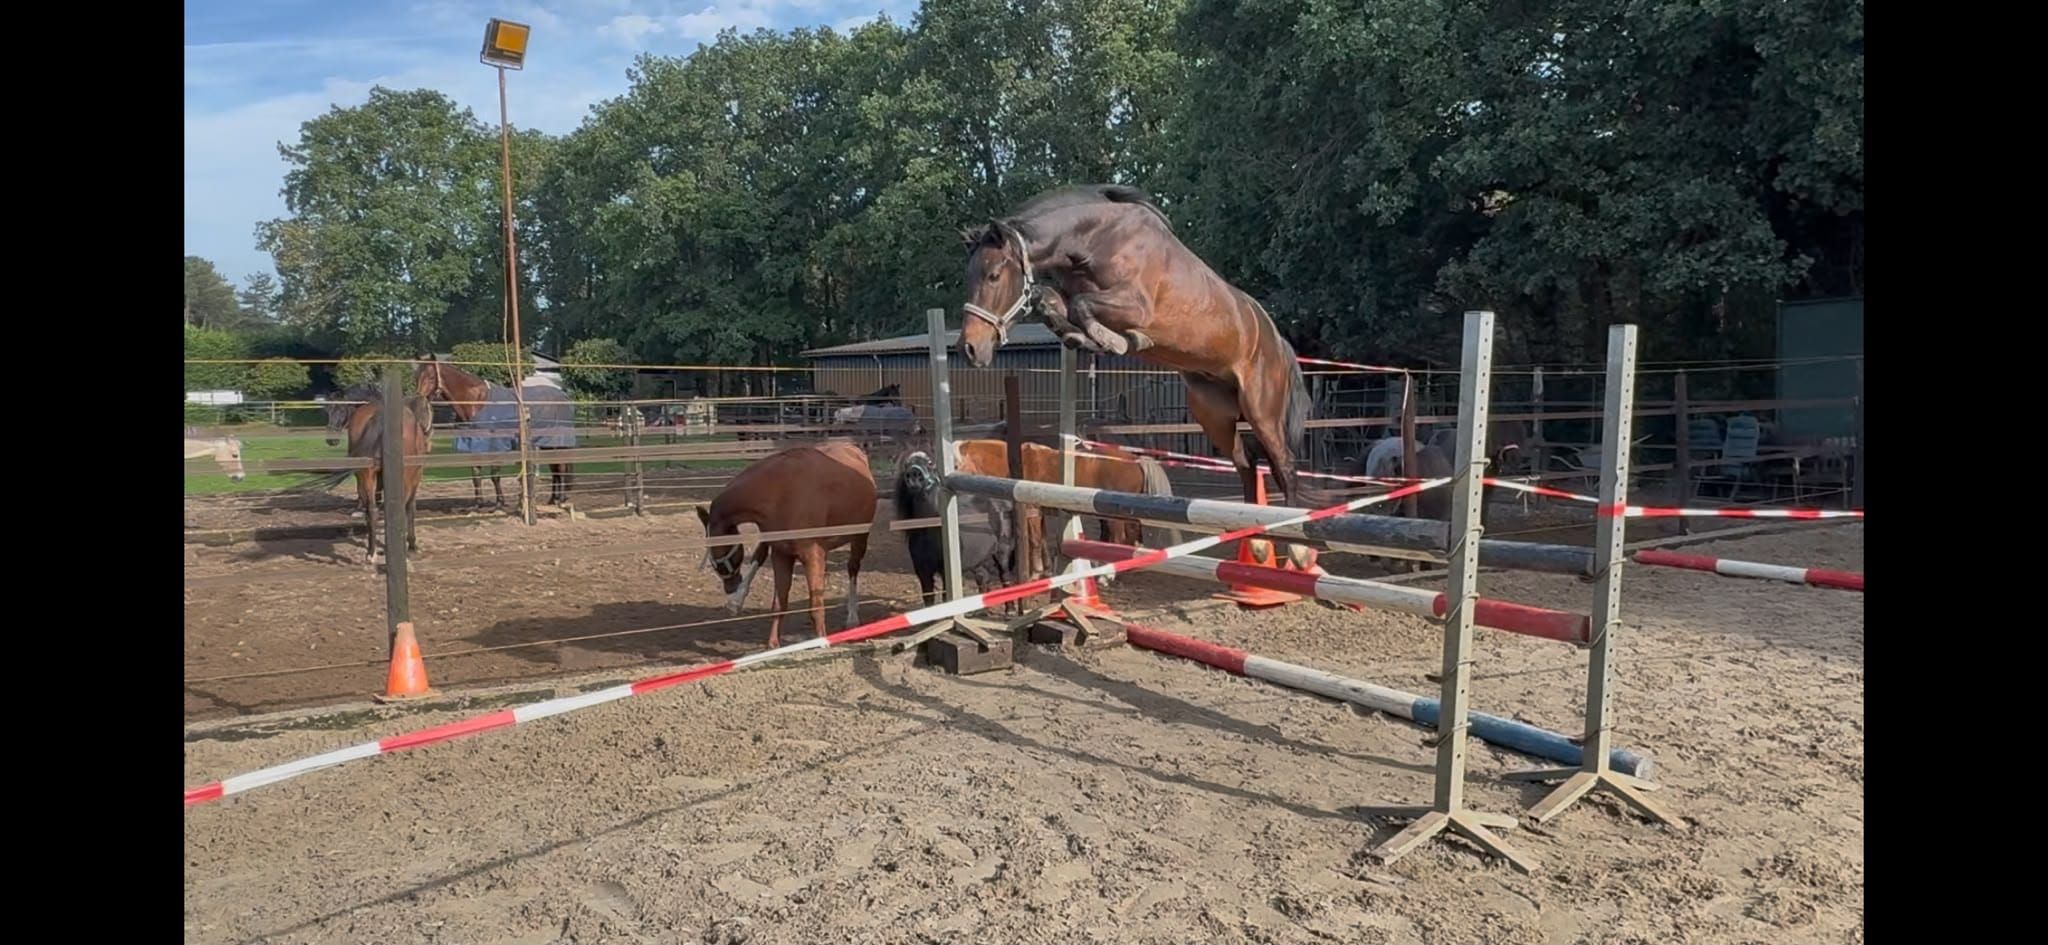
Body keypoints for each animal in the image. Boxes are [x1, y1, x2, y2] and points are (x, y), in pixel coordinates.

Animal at [303, 384, 433, 562]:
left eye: (341, 409)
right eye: (328, 411)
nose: (331, 440)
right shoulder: (415, 477)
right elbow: (410, 508)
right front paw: (412, 545)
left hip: (368, 473)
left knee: (372, 510)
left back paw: (371, 553)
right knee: (397, 508)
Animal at [416, 356, 578, 508]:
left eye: (431, 377)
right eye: (416, 376)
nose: (419, 400)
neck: (477, 402)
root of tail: (564, 397)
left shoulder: (496, 445)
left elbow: (494, 475)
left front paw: (499, 503)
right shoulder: (473, 446)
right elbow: (476, 475)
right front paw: (478, 504)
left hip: (556, 442)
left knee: (561, 468)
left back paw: (561, 499)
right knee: (555, 469)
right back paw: (552, 499)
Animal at [696, 439, 876, 648]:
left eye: (715, 555)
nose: (729, 588)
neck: (781, 491)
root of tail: (853, 448)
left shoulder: (811, 554)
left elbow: (815, 604)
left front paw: (822, 642)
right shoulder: (781, 555)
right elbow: (779, 603)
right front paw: (773, 644)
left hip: (859, 538)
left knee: (852, 568)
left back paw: (852, 617)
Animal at [895, 450, 1017, 608]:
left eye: (930, 463)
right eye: (906, 465)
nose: (914, 473)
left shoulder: (946, 573)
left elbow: (946, 598)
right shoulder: (923, 572)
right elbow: (929, 601)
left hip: (1002, 552)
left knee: (1004, 576)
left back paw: (1010, 610)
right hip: (978, 558)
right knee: (983, 577)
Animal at [951, 438, 1181, 581]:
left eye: (954, 464)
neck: (1017, 463)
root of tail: (1135, 459)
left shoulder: (1031, 512)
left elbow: (1034, 540)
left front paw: (1035, 574)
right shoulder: (1041, 513)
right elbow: (1043, 539)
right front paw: (1046, 570)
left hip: (1113, 516)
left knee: (1119, 538)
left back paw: (1107, 575)